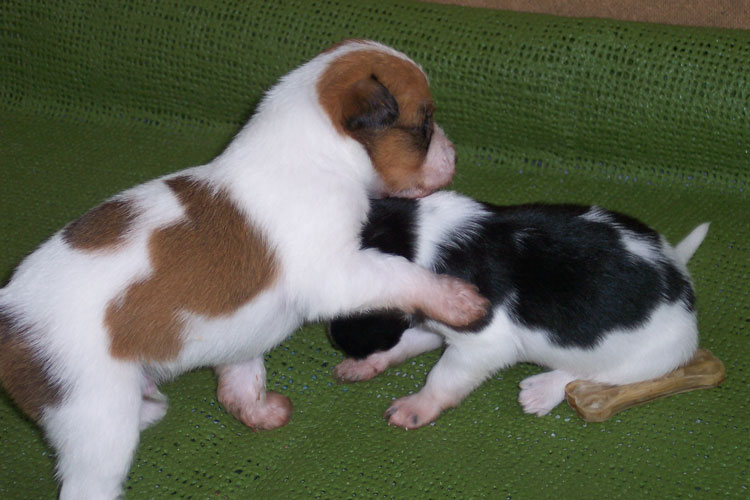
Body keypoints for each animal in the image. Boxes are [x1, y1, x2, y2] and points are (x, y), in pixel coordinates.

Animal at [0, 40, 490, 499]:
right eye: (424, 125)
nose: (456, 155)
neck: (315, 157)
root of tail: (10, 319)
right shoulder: (341, 274)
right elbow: (404, 275)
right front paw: (457, 300)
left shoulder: (244, 332)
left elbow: (241, 379)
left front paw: (257, 409)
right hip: (95, 421)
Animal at [329, 192, 709, 429]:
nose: (339, 343)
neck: (417, 236)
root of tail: (682, 275)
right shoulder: (439, 321)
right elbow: (406, 341)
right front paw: (367, 363)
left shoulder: (480, 345)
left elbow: (441, 378)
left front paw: (416, 407)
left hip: (657, 356)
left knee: (594, 373)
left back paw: (543, 390)